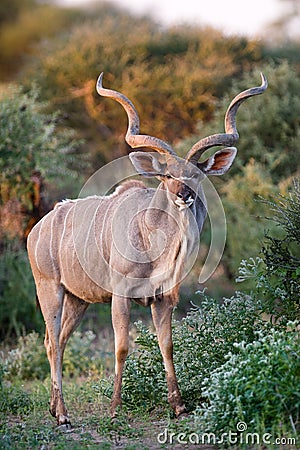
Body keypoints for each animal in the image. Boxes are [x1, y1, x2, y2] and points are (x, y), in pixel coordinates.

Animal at [27, 71, 268, 426]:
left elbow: (167, 345)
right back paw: (64, 416)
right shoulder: (120, 295)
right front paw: (114, 408)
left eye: (196, 175)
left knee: (53, 340)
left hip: (77, 300)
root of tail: (36, 230)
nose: (184, 195)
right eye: (166, 175)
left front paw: (179, 406)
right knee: (54, 343)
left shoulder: (164, 298)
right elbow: (122, 347)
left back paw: (55, 409)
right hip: (50, 289)